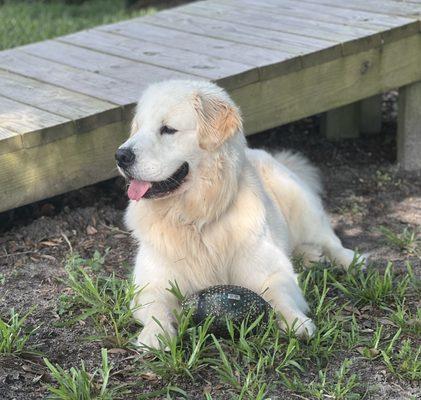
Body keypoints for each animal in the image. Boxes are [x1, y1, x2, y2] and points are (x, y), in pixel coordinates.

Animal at [115, 79, 364, 348]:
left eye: (168, 129)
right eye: (138, 127)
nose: (121, 156)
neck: (195, 219)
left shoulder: (272, 271)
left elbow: (279, 293)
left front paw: (296, 321)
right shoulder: (150, 284)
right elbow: (156, 308)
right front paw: (154, 335)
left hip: (301, 203)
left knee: (330, 239)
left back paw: (348, 259)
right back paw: (311, 255)